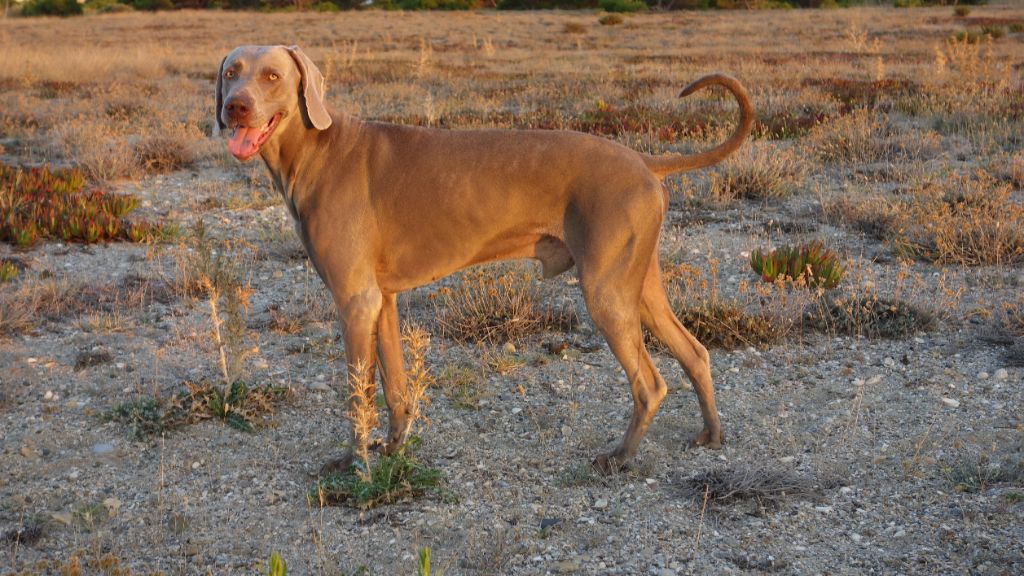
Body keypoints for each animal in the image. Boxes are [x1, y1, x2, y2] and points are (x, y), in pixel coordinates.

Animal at [214, 44, 753, 473]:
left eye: (272, 76)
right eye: (230, 71)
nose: (235, 107)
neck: (318, 149)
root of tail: (644, 160)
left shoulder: (353, 301)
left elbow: (358, 392)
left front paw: (356, 463)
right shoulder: (381, 300)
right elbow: (395, 388)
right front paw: (393, 448)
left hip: (605, 290)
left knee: (650, 382)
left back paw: (621, 456)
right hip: (638, 283)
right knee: (695, 352)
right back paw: (711, 435)